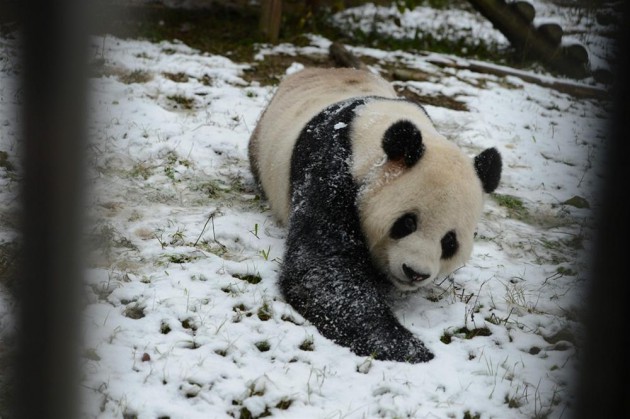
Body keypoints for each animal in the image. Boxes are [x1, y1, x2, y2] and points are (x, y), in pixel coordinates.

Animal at [249, 67, 502, 362]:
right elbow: (323, 269)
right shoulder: (330, 172)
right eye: (407, 222)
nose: (415, 273)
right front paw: (407, 348)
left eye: (450, 241)